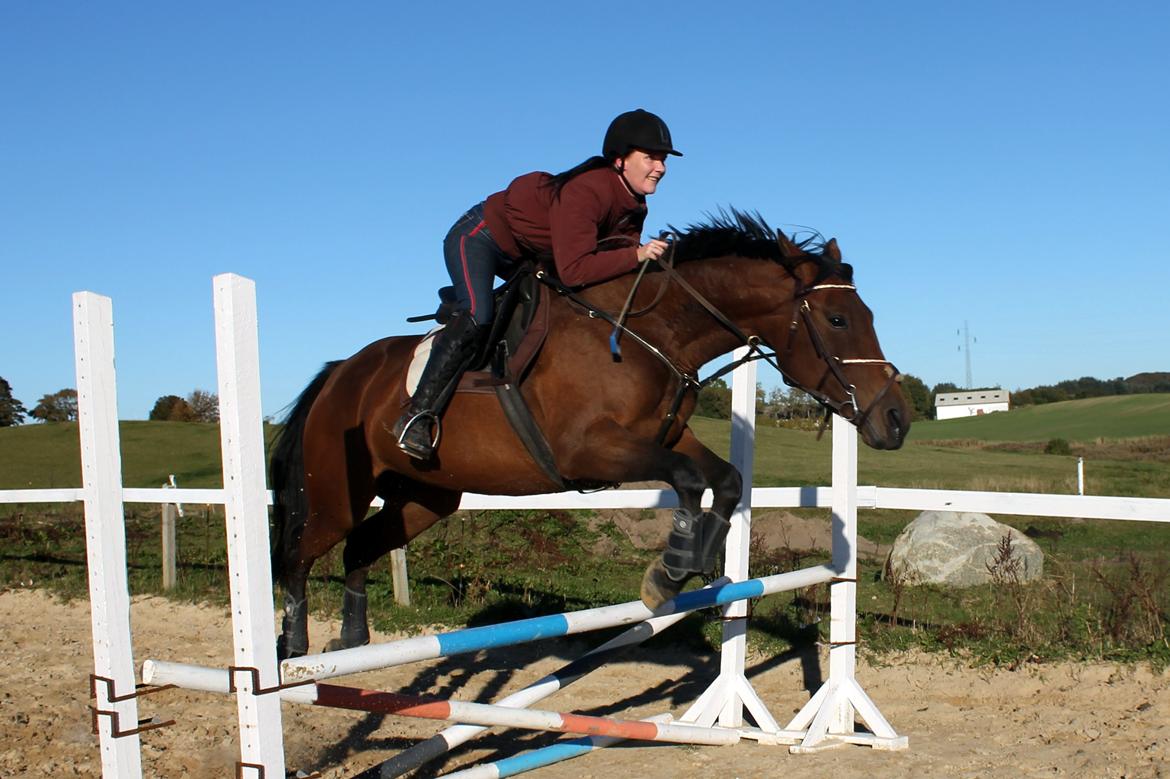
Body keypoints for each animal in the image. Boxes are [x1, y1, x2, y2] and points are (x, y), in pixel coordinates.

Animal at [269, 210, 907, 655]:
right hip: (335, 492)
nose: (896, 419)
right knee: (299, 556)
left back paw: (351, 641)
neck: (650, 332)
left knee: (359, 547)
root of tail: (339, 373)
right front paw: (669, 571)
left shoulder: (665, 436)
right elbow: (686, 479)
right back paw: (291, 649)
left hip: (425, 496)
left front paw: (695, 559)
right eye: (837, 319)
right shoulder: (588, 451)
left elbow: (724, 478)